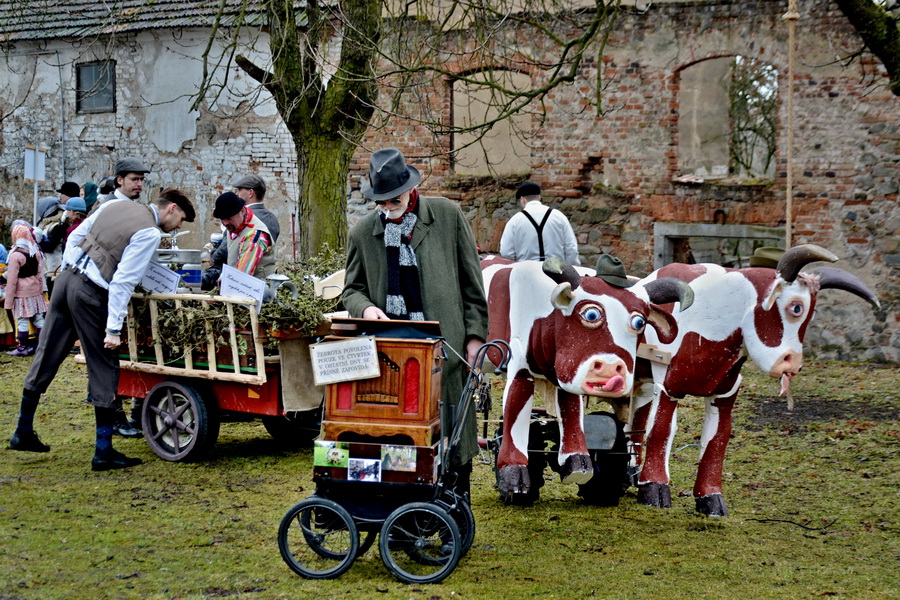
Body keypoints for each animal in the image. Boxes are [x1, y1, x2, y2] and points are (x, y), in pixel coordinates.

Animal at [482, 255, 694, 497]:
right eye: (591, 314)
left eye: (640, 322)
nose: (611, 370)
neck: (546, 316)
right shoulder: (519, 366)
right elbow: (515, 408)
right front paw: (513, 473)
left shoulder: (568, 374)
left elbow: (571, 408)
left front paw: (577, 462)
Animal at [631, 244, 880, 517]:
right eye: (796, 308)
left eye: (812, 314)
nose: (792, 363)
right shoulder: (668, 385)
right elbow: (661, 430)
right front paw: (654, 489)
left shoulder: (725, 392)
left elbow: (717, 438)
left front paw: (711, 500)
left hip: (641, 381)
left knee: (637, 415)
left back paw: (632, 472)